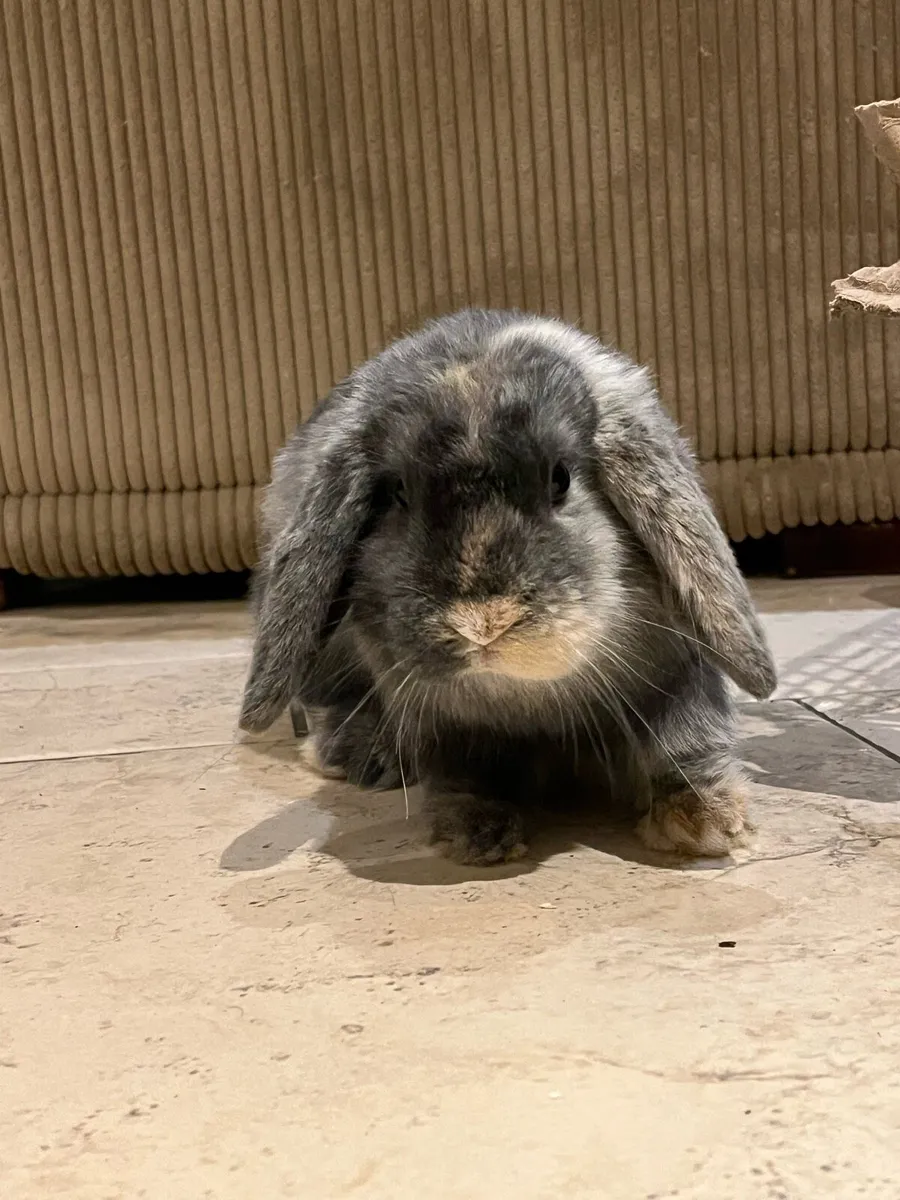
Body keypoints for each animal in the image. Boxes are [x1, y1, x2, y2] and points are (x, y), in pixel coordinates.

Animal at [240, 309, 776, 865]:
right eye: (399, 494)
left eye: (560, 478)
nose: (483, 622)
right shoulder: (454, 727)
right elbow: (468, 776)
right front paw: (477, 833)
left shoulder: (675, 679)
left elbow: (684, 741)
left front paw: (706, 821)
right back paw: (357, 755)